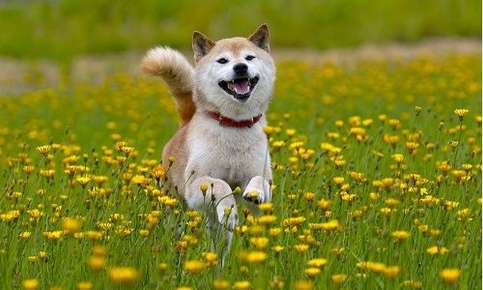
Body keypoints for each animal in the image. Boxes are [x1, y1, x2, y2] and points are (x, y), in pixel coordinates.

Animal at [141, 24, 276, 260]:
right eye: (223, 60)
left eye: (249, 57)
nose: (240, 67)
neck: (235, 125)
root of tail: (184, 124)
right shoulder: (196, 186)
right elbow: (221, 185)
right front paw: (229, 210)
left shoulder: (261, 187)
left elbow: (259, 180)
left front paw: (254, 193)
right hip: (174, 208)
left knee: (220, 244)